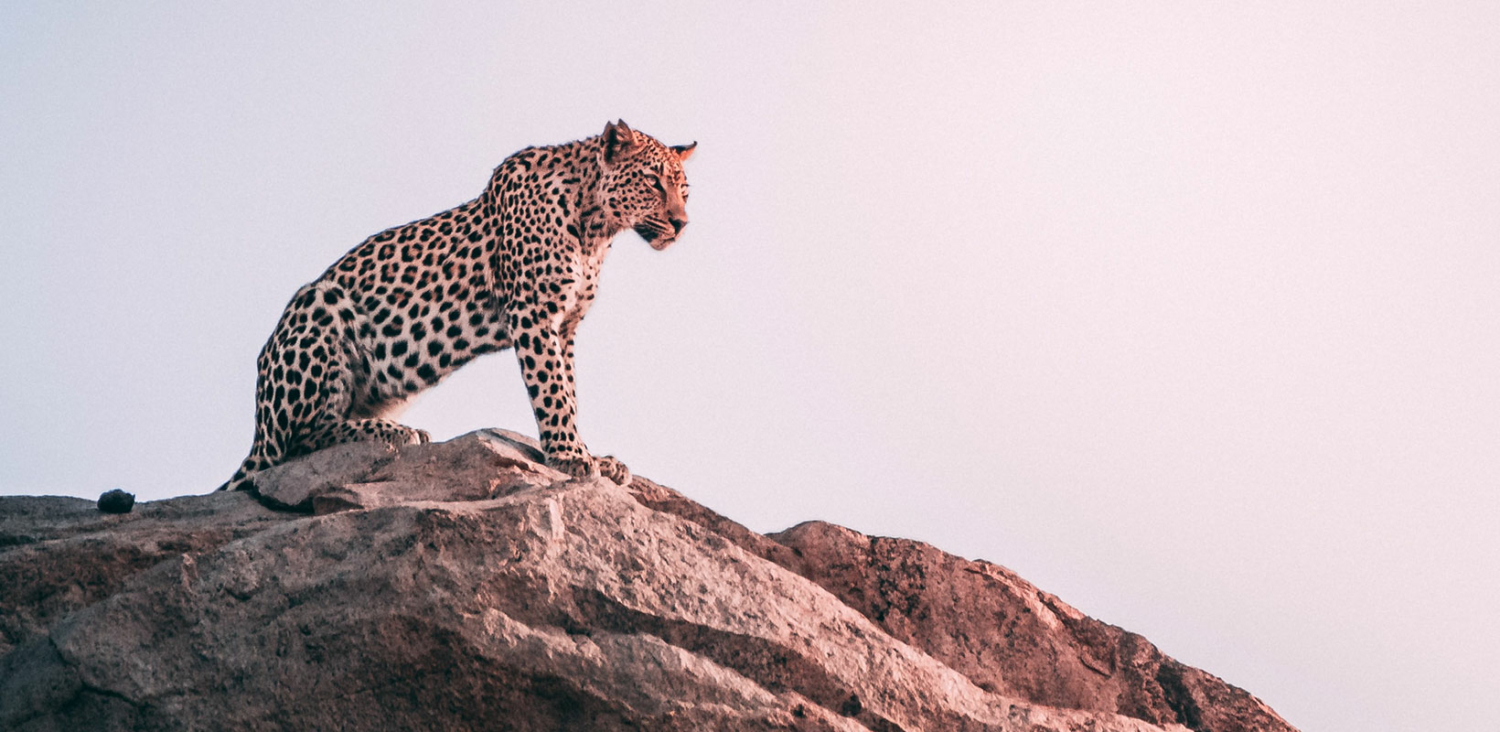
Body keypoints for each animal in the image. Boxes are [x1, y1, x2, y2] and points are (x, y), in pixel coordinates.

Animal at [217, 120, 694, 492]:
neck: (596, 228)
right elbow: (552, 390)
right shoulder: (533, 313)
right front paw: (570, 455)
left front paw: (591, 454)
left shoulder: (565, 326)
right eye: (653, 182)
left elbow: (569, 390)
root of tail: (258, 430)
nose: (681, 223)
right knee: (296, 442)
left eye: (684, 190)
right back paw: (397, 433)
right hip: (319, 304)